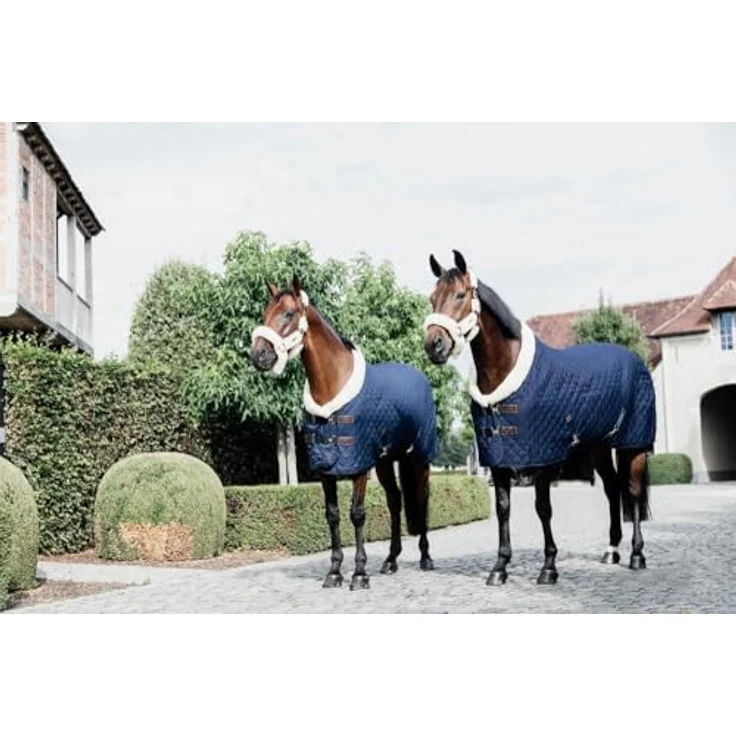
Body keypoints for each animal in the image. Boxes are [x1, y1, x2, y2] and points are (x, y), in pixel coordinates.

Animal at [250, 275, 439, 590]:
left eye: (288, 313)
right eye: (265, 313)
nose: (258, 355)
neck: (332, 388)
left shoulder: (359, 464)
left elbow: (357, 514)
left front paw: (360, 574)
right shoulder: (326, 468)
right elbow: (333, 515)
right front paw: (335, 572)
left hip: (419, 457)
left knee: (422, 499)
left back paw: (426, 558)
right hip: (385, 461)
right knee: (395, 500)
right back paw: (391, 561)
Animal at [423, 250, 655, 586]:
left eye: (460, 295)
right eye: (432, 298)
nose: (434, 345)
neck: (503, 375)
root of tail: (633, 359)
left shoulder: (542, 459)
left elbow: (543, 508)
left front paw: (548, 567)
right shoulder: (499, 460)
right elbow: (503, 509)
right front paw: (499, 567)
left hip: (632, 445)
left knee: (633, 492)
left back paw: (637, 555)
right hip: (598, 447)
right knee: (612, 489)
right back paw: (611, 551)